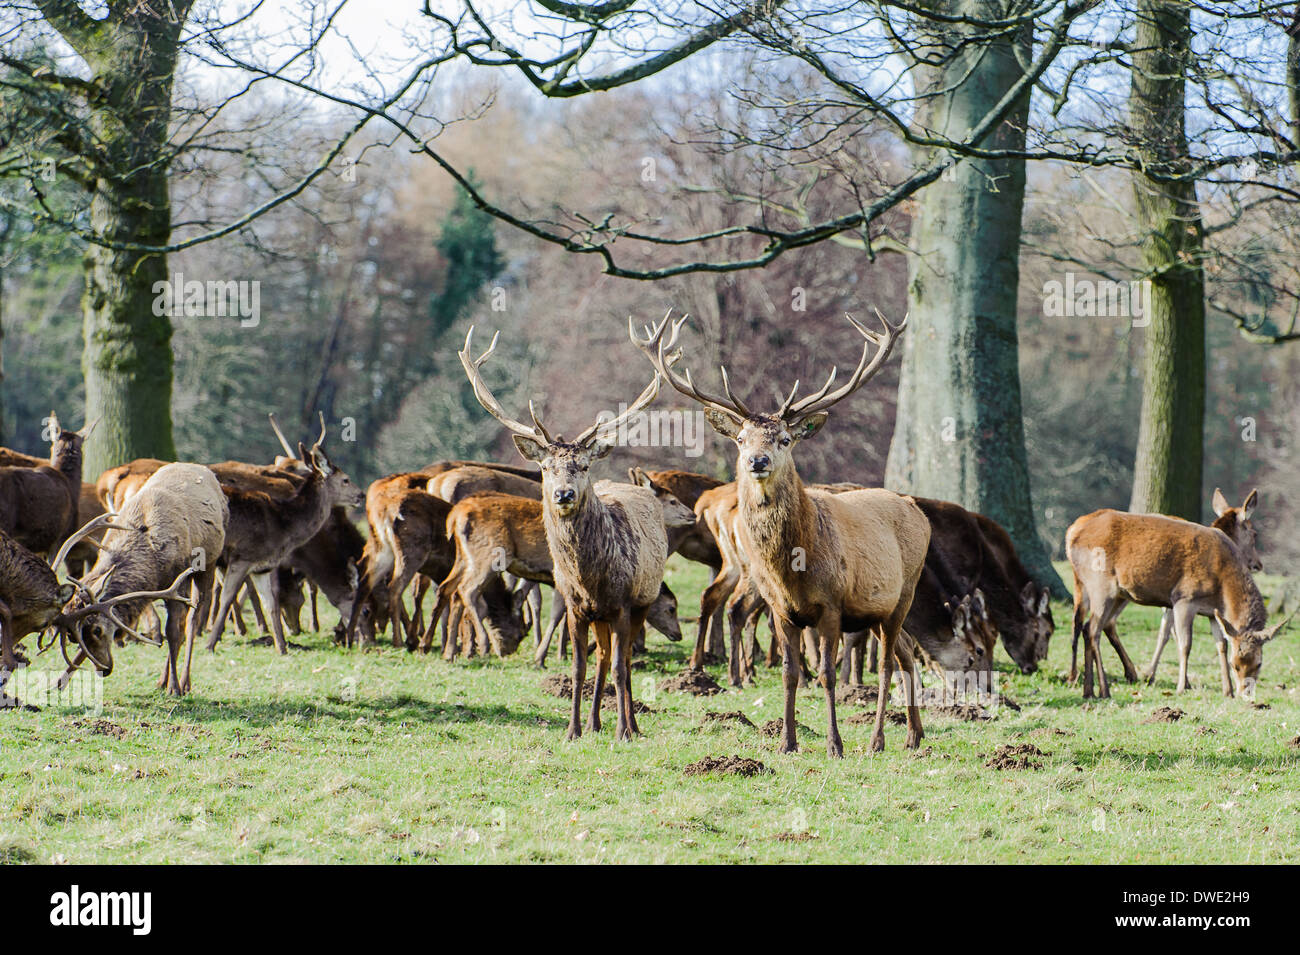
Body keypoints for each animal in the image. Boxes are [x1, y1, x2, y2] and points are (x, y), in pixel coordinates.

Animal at [459, 326, 673, 741]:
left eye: (584, 465)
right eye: (545, 467)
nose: (564, 494)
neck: (591, 579)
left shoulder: (624, 604)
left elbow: (622, 666)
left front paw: (624, 731)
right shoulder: (577, 607)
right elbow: (578, 667)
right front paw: (573, 729)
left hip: (643, 599)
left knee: (620, 661)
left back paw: (632, 725)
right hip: (599, 615)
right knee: (602, 658)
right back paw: (594, 723)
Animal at [631, 311, 928, 757]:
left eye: (785, 439)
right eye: (740, 438)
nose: (757, 460)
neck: (794, 568)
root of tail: (917, 509)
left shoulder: (832, 605)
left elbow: (826, 673)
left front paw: (835, 744)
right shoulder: (781, 608)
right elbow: (789, 672)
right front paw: (787, 741)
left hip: (904, 594)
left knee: (888, 661)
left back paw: (877, 739)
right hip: (877, 608)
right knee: (908, 651)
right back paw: (914, 734)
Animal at [1066, 502, 1287, 700]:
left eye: (1259, 664)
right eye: (1236, 664)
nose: (1245, 693)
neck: (1222, 584)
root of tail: (1071, 533)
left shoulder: (1213, 613)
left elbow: (1221, 645)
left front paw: (1228, 691)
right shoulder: (1183, 598)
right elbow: (1184, 643)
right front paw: (1182, 687)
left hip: (1115, 593)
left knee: (1087, 626)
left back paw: (1088, 690)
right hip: (1101, 585)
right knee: (1093, 629)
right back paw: (1104, 690)